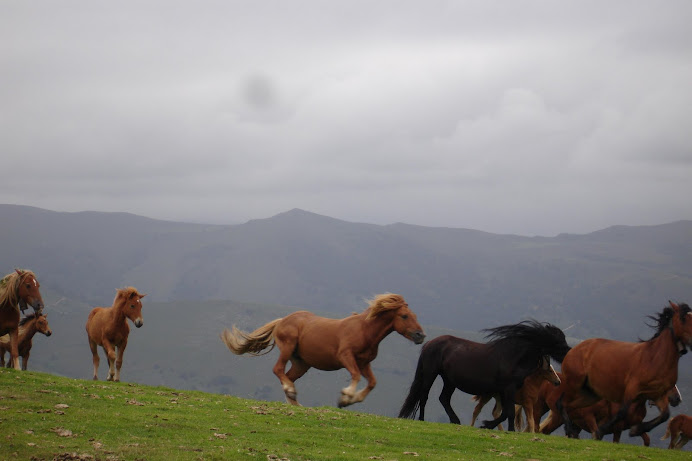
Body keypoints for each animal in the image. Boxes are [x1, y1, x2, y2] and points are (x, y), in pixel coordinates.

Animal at [222, 294, 428, 406]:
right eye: (404, 316)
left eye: (415, 315)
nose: (421, 335)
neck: (364, 330)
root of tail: (282, 321)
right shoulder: (345, 356)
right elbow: (355, 376)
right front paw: (345, 397)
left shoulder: (364, 363)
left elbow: (372, 382)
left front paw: (350, 400)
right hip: (288, 347)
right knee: (278, 370)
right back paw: (291, 392)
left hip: (302, 363)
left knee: (288, 375)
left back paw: (294, 400)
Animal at [398, 318, 572, 430]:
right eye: (558, 340)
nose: (569, 354)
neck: (514, 356)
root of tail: (429, 344)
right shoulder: (508, 389)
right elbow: (507, 412)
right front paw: (490, 426)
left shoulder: (504, 392)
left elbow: (506, 413)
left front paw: (499, 428)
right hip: (430, 374)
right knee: (424, 396)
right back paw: (422, 419)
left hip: (449, 381)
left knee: (444, 398)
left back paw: (455, 420)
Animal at [548, 302, 692, 438]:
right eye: (683, 318)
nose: (677, 399)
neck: (654, 358)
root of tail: (572, 350)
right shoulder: (631, 389)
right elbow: (621, 412)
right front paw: (601, 431)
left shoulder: (657, 394)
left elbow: (665, 415)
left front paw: (636, 430)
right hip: (574, 385)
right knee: (561, 403)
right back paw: (570, 429)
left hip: (590, 395)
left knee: (569, 406)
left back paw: (570, 430)